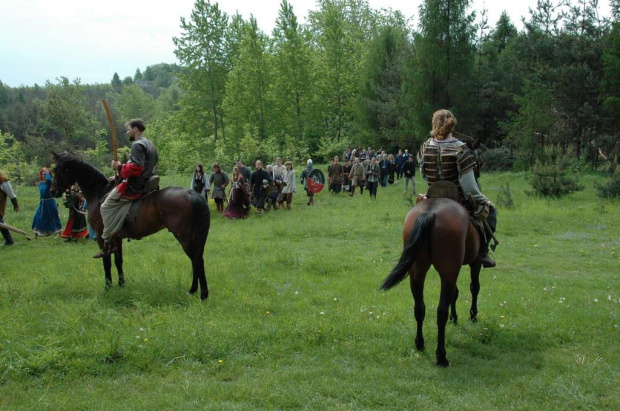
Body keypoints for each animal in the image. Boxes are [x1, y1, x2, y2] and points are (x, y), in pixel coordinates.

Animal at [51, 151, 211, 300]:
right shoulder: (117, 238)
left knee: (196, 260)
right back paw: (194, 291)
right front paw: (121, 284)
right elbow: (118, 261)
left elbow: (106, 261)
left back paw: (201, 294)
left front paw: (107, 287)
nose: (53, 191)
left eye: (56, 169)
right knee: (197, 259)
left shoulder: (101, 236)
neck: (98, 192)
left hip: (184, 237)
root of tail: (192, 194)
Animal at [382, 183, 484, 366]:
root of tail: (430, 213)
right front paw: (472, 315)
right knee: (440, 311)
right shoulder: (474, 262)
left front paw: (455, 317)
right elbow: (474, 287)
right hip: (449, 269)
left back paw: (419, 343)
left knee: (419, 307)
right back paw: (441, 356)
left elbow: (456, 293)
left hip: (418, 270)